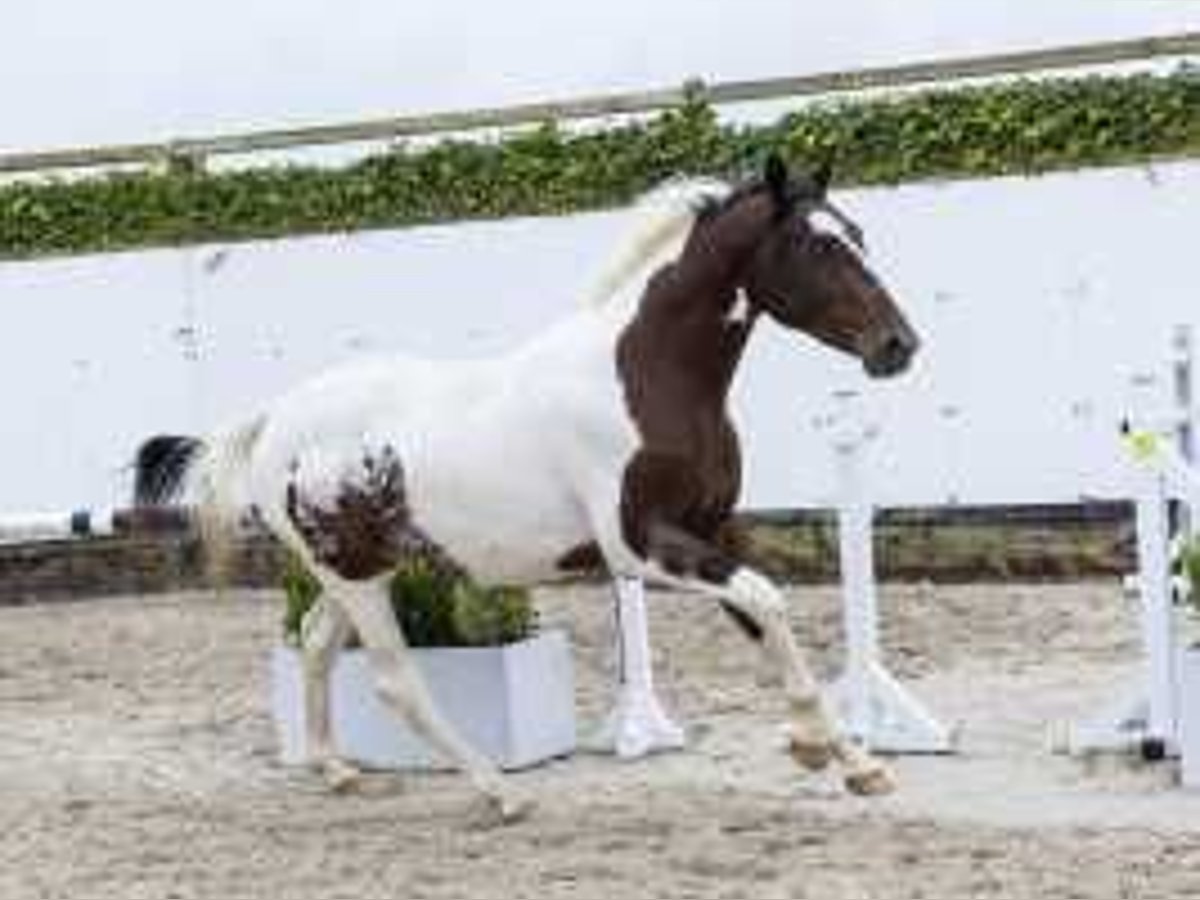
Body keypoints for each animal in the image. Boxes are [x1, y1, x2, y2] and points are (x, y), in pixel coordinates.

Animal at [138, 157, 916, 825]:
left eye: (859, 235)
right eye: (818, 247)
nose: (898, 346)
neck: (645, 378)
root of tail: (274, 421)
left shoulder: (713, 528)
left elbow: (763, 616)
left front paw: (851, 763)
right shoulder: (642, 548)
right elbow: (766, 598)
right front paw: (821, 750)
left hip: (359, 570)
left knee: (316, 642)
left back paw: (338, 771)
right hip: (355, 576)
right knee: (394, 681)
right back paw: (499, 792)